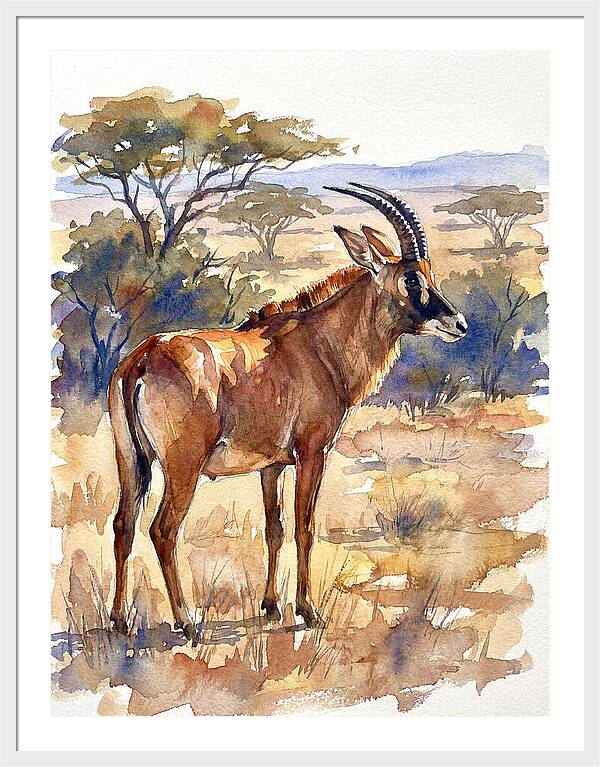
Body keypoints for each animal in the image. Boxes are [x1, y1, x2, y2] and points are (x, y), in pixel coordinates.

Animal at [108, 184, 467, 637]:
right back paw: (186, 622)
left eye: (429, 274)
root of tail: (141, 359)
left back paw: (119, 620)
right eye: (411, 277)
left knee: (124, 524)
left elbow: (274, 529)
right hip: (182, 467)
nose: (458, 324)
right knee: (163, 530)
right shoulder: (312, 452)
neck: (319, 343)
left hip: (131, 461)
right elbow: (305, 527)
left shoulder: (272, 465)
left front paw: (270, 606)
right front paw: (308, 611)